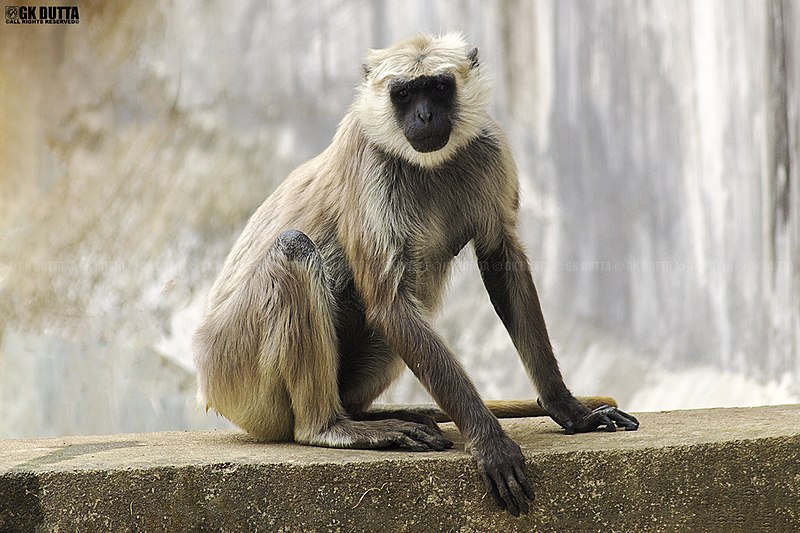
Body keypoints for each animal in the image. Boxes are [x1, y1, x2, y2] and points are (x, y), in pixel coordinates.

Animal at [194, 33, 636, 516]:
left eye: (438, 88)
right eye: (404, 94)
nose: (424, 116)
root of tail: (210, 381)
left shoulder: (488, 147)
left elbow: (500, 261)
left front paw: (567, 408)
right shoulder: (370, 158)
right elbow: (388, 303)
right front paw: (488, 440)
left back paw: (372, 414)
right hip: (236, 365)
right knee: (293, 248)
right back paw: (329, 426)